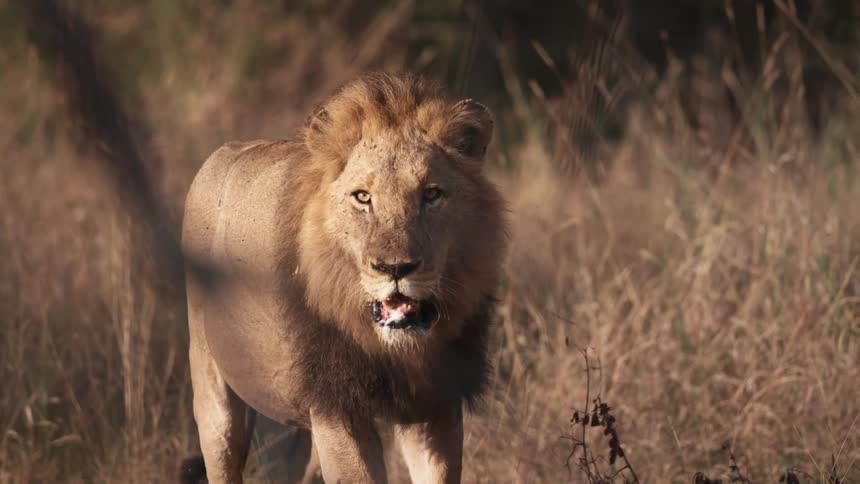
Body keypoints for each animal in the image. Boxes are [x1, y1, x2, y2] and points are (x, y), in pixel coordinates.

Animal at [181, 72, 506, 483]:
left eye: (432, 194)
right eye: (363, 197)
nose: (395, 269)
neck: (396, 351)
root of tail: (225, 149)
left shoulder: (435, 404)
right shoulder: (337, 408)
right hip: (213, 390)